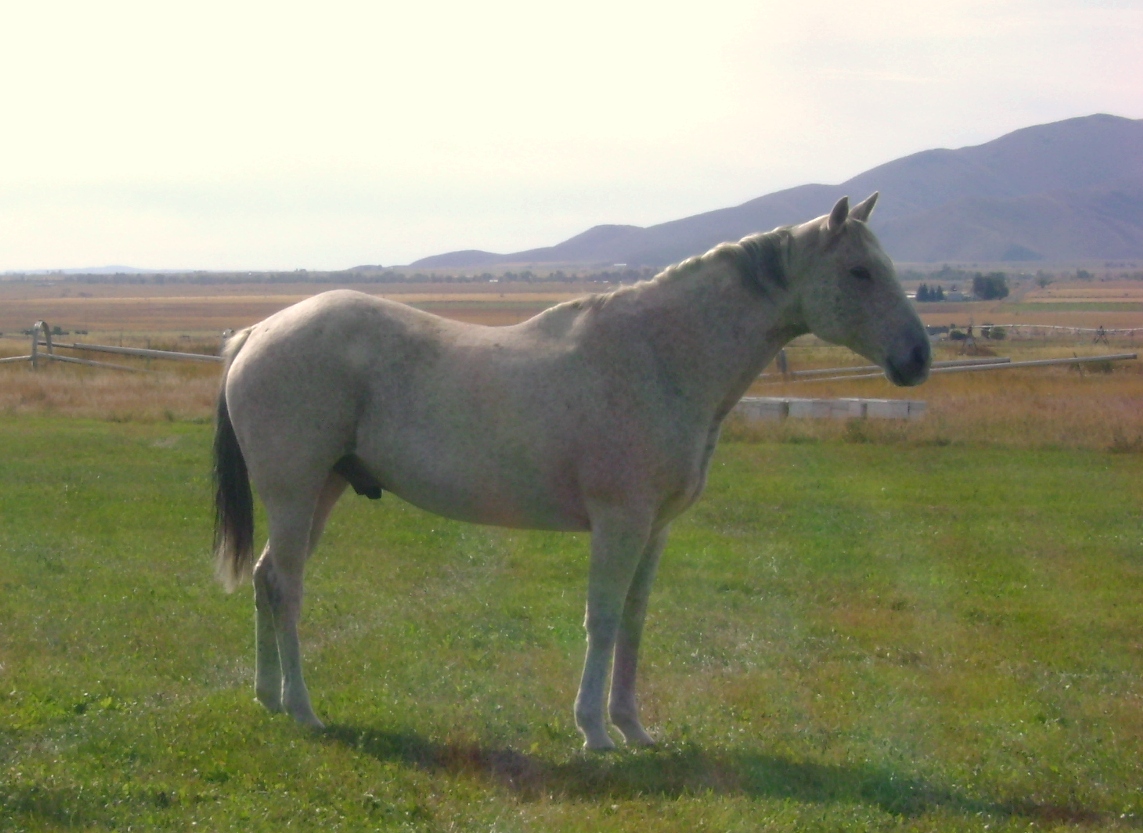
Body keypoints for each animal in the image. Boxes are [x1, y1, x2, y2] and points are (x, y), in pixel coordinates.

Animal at [214, 193, 928, 749]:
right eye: (861, 272)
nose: (918, 358)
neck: (661, 355)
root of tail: (255, 334)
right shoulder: (620, 523)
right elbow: (603, 618)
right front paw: (594, 730)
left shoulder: (654, 529)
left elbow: (634, 621)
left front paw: (633, 727)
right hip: (296, 492)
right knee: (286, 588)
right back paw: (304, 710)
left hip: (323, 490)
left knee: (266, 579)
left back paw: (269, 698)